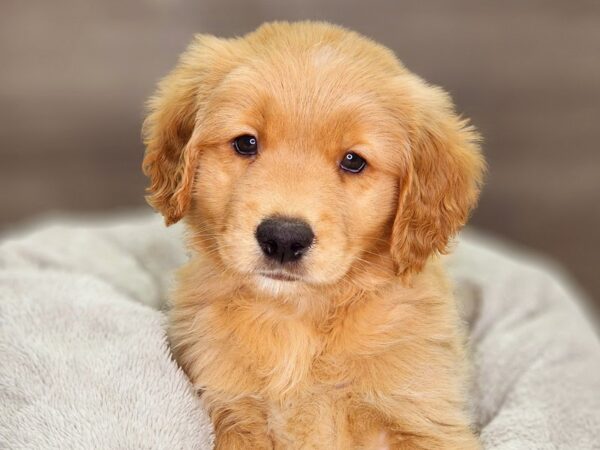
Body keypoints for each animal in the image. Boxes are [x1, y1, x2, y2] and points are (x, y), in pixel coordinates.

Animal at [143, 19, 486, 448]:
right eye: (245, 142)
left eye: (353, 161)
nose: (283, 238)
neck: (297, 318)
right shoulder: (231, 408)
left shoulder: (423, 416)